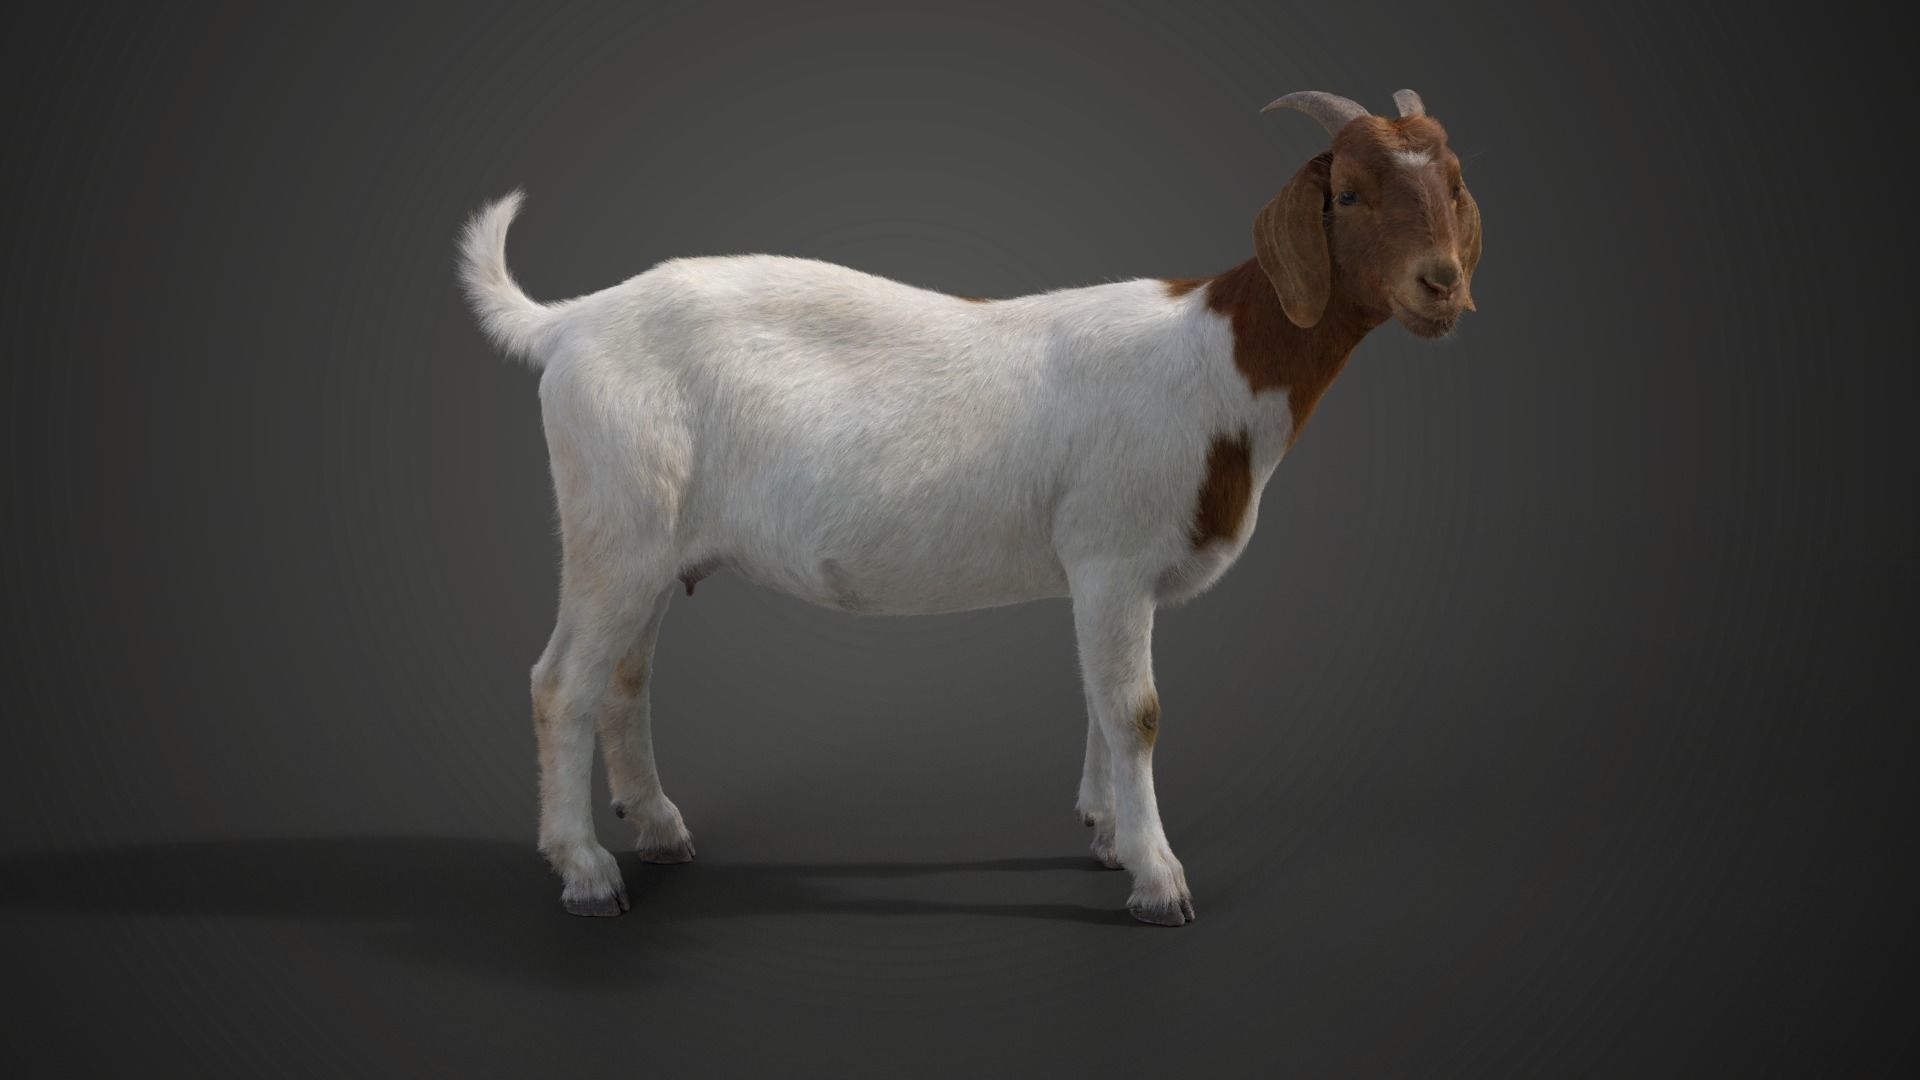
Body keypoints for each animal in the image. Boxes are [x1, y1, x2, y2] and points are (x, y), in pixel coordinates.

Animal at [458, 89, 1482, 926]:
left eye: (1455, 185)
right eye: (1346, 193)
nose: (1442, 284)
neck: (1218, 364)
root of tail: (571, 321)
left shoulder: (1098, 578)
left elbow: (1097, 697)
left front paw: (1106, 834)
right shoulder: (1114, 554)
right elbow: (1136, 709)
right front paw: (1160, 879)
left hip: (649, 540)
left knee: (625, 677)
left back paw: (661, 829)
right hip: (614, 528)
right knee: (562, 682)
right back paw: (586, 873)